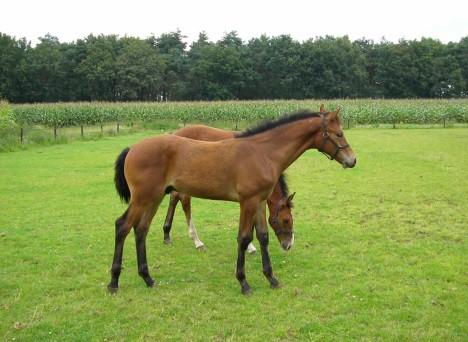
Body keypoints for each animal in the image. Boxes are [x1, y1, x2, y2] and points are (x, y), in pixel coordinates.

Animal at [109, 107, 356, 294]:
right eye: (338, 134)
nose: (352, 160)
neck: (263, 152)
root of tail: (133, 148)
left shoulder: (259, 201)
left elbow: (263, 236)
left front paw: (271, 278)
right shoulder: (247, 201)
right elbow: (244, 238)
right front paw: (244, 282)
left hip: (155, 197)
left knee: (141, 229)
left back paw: (147, 278)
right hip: (143, 198)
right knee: (123, 226)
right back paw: (114, 282)